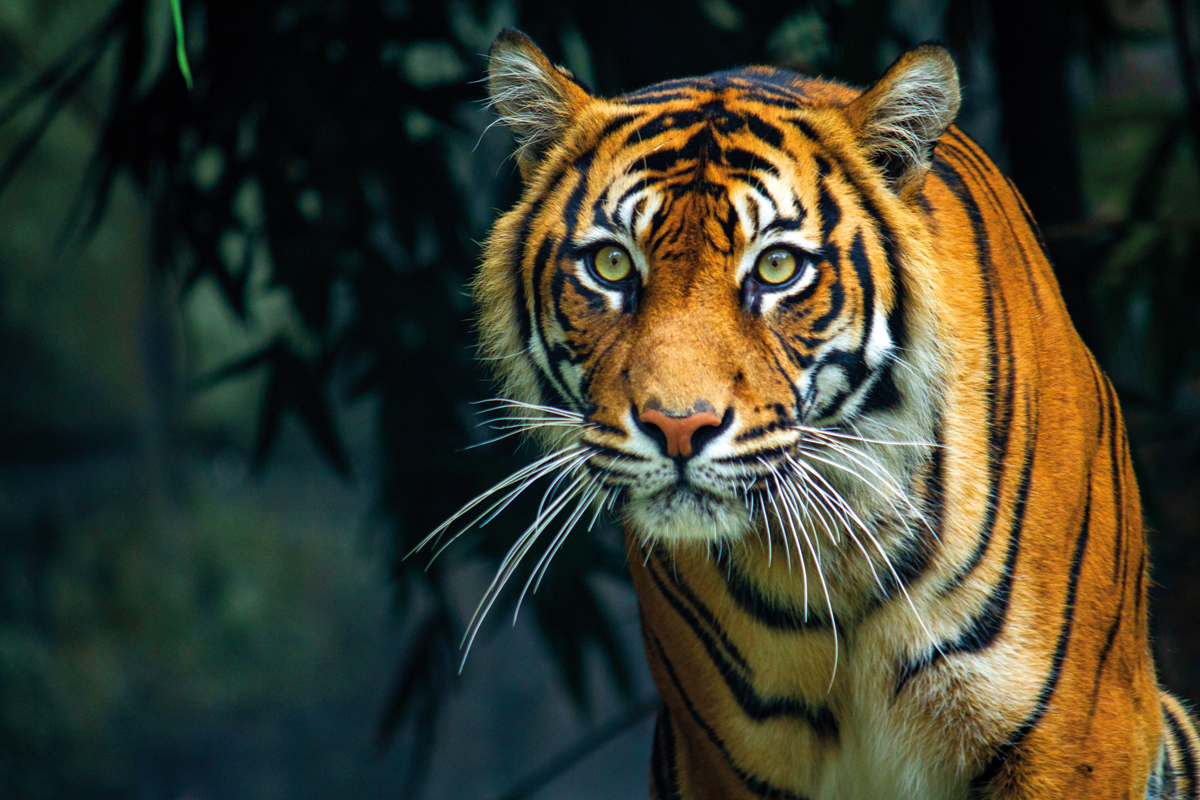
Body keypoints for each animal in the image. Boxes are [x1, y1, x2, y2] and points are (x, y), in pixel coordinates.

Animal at [429, 28, 1200, 796]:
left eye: (777, 269)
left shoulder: (1073, 738)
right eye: (612, 265)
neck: (836, 562)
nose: (678, 427)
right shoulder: (725, 763)